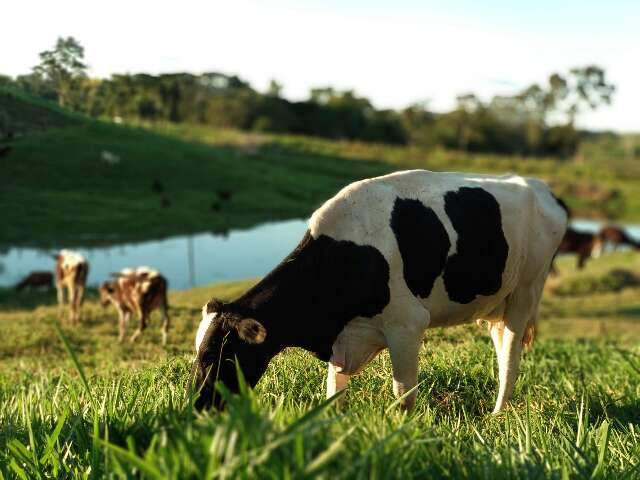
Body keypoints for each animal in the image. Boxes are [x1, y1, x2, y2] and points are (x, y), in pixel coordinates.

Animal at [192, 172, 568, 412]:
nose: (198, 408)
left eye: (218, 356)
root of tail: (538, 186)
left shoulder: (407, 325)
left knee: (510, 355)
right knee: (501, 343)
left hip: (526, 291)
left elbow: (403, 397)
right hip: (497, 304)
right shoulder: (344, 339)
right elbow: (334, 395)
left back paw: (497, 414)